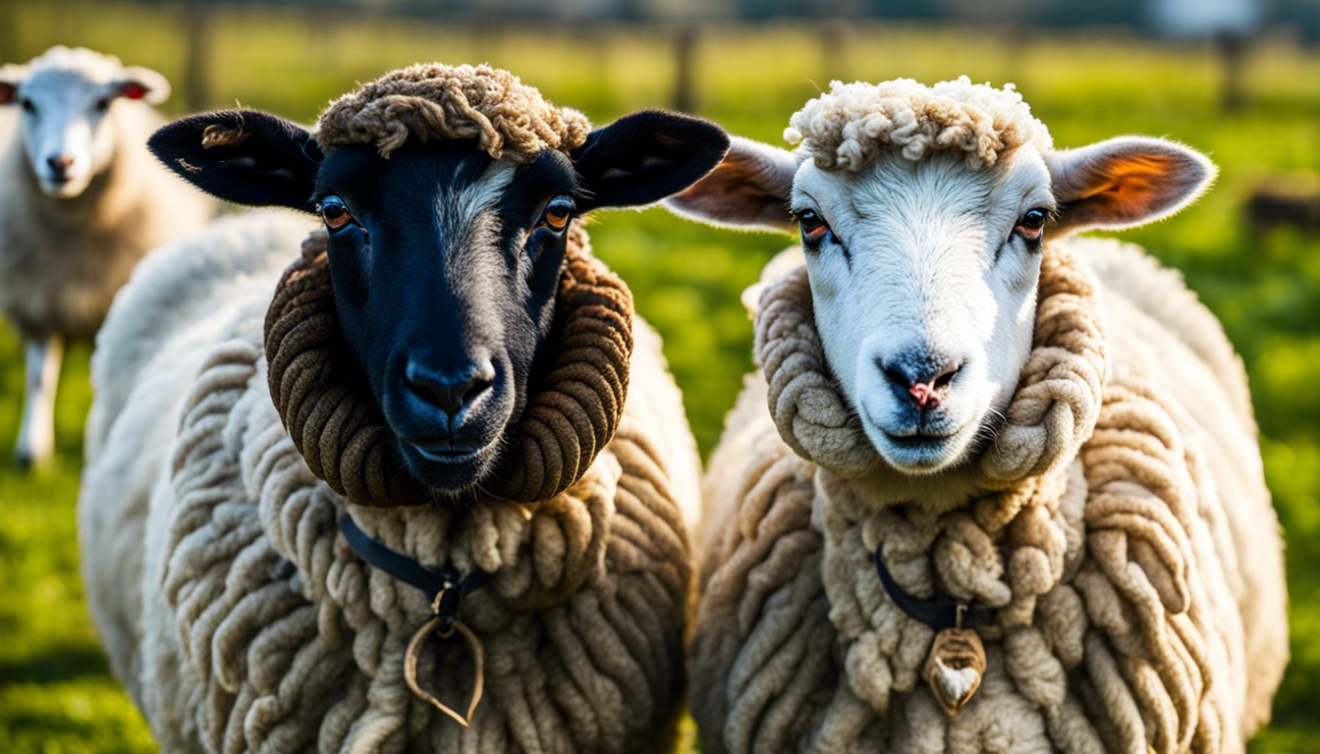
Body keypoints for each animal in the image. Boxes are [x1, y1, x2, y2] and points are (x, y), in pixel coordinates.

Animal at [0, 45, 216, 468]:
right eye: (27, 103)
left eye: (103, 103)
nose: (60, 163)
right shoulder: (36, 301)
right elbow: (38, 378)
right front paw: (32, 450)